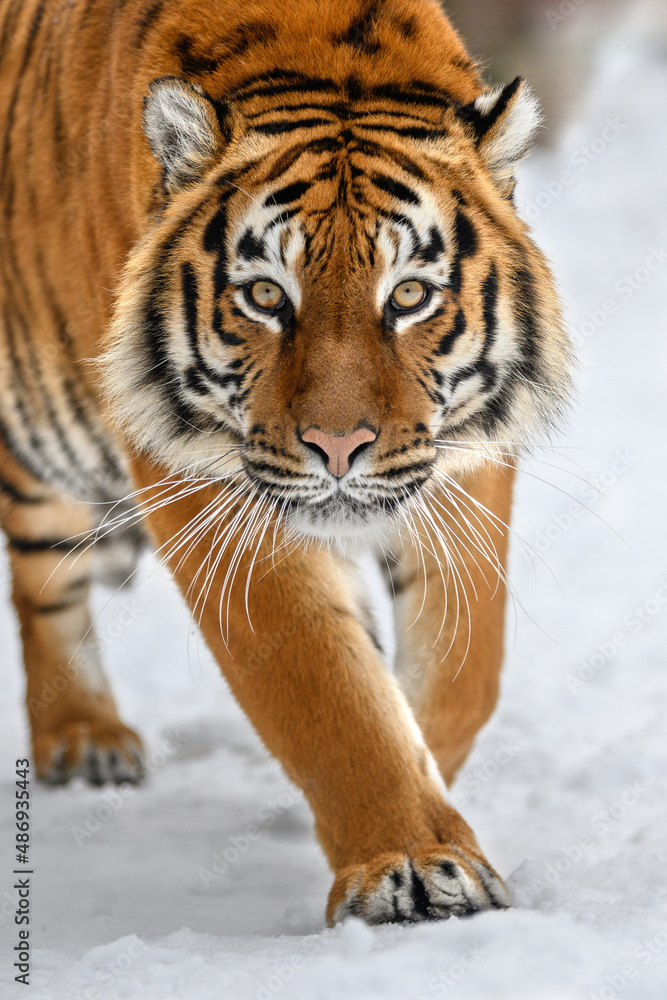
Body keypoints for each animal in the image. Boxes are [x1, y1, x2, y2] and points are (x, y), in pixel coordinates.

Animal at [0, 0, 571, 926]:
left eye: (408, 295)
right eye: (265, 295)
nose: (337, 446)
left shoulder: (462, 463)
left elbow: (462, 670)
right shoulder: (205, 487)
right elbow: (326, 689)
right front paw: (412, 863)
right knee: (42, 574)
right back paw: (84, 738)